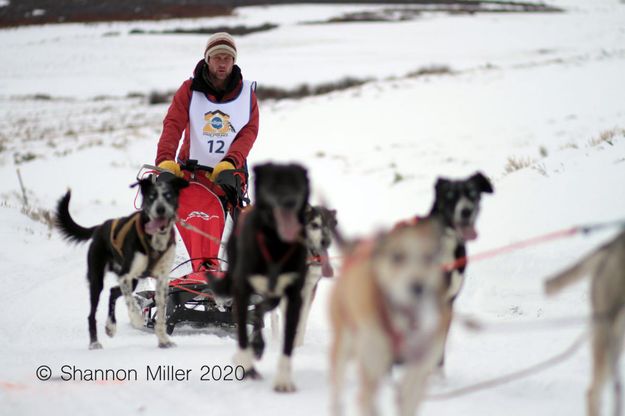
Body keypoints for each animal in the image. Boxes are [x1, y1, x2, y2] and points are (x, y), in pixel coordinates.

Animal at [55, 174, 188, 350]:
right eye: (151, 196)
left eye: (169, 195)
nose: (160, 209)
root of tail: (100, 227)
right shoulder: (126, 276)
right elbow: (132, 304)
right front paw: (138, 319)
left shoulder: (161, 280)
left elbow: (161, 313)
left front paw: (163, 340)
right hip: (99, 280)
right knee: (92, 313)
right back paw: (95, 342)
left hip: (132, 280)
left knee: (112, 292)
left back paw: (110, 326)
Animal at [213, 162, 310, 390]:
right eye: (273, 183)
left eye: (297, 182)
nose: (289, 201)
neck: (276, 244)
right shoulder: (242, 290)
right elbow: (242, 334)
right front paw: (247, 365)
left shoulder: (294, 296)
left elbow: (287, 341)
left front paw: (283, 379)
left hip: (274, 294)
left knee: (259, 311)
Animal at [270, 206, 336, 348]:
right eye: (314, 225)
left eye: (331, 225)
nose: (326, 242)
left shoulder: (309, 289)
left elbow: (302, 318)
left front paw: (298, 344)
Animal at [330, 219, 446, 414]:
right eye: (397, 256)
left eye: (428, 257)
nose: (418, 287)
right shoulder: (371, 366)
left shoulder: (417, 376)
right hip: (343, 348)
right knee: (337, 396)